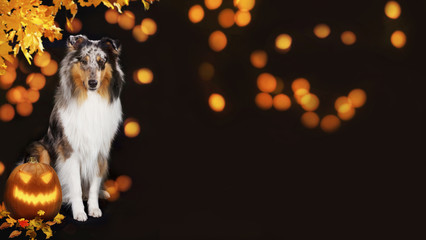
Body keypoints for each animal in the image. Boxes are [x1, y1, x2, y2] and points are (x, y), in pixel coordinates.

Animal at [23, 35, 123, 221]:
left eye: (102, 62)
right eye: (84, 61)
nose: (93, 83)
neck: (90, 100)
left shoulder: (100, 152)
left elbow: (93, 187)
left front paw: (94, 208)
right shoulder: (69, 151)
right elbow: (75, 186)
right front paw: (79, 212)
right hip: (41, 149)